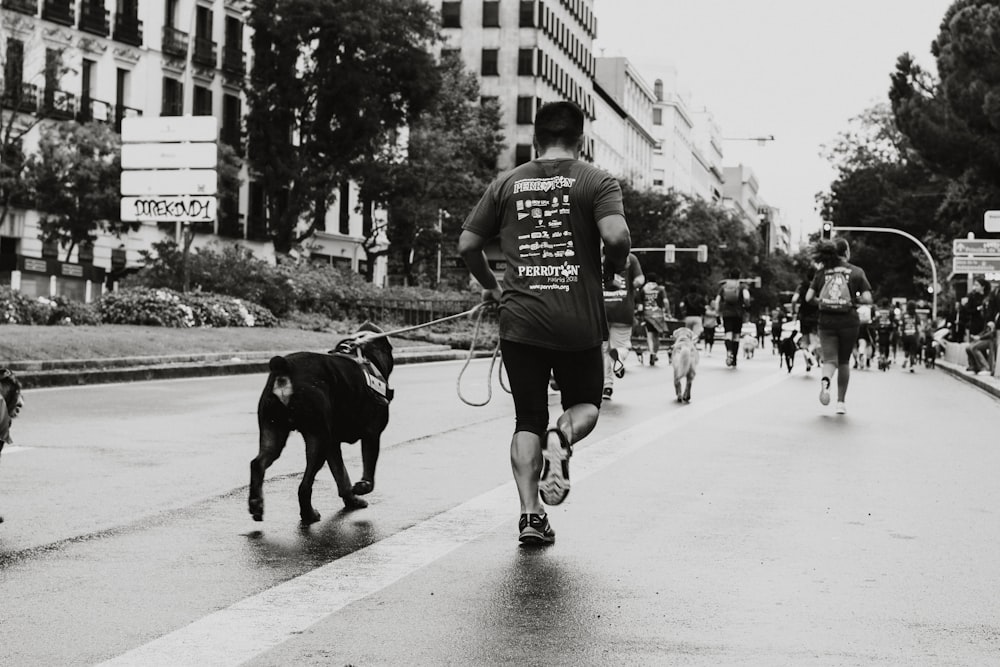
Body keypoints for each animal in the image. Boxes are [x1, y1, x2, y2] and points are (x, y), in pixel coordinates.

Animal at [248, 324, 392, 528]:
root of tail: (285, 368)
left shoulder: (333, 444)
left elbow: (341, 475)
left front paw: (352, 500)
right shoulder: (372, 435)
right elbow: (368, 471)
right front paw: (362, 487)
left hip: (273, 431)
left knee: (258, 463)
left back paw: (256, 504)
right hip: (318, 440)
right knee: (304, 486)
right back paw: (308, 514)